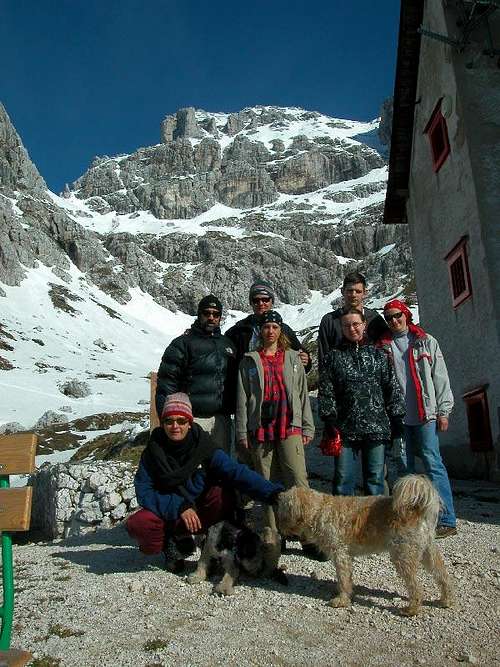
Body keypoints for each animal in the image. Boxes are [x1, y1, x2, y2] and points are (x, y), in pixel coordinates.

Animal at [276, 474, 456, 616]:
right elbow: (346, 579)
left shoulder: (340, 554)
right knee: (442, 575)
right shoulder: (346, 557)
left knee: (416, 587)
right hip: (427, 552)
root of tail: (416, 509)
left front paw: (341, 600)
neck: (320, 510)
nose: (278, 528)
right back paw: (446, 600)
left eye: (283, 510)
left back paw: (412, 609)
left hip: (403, 556)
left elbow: (343, 579)